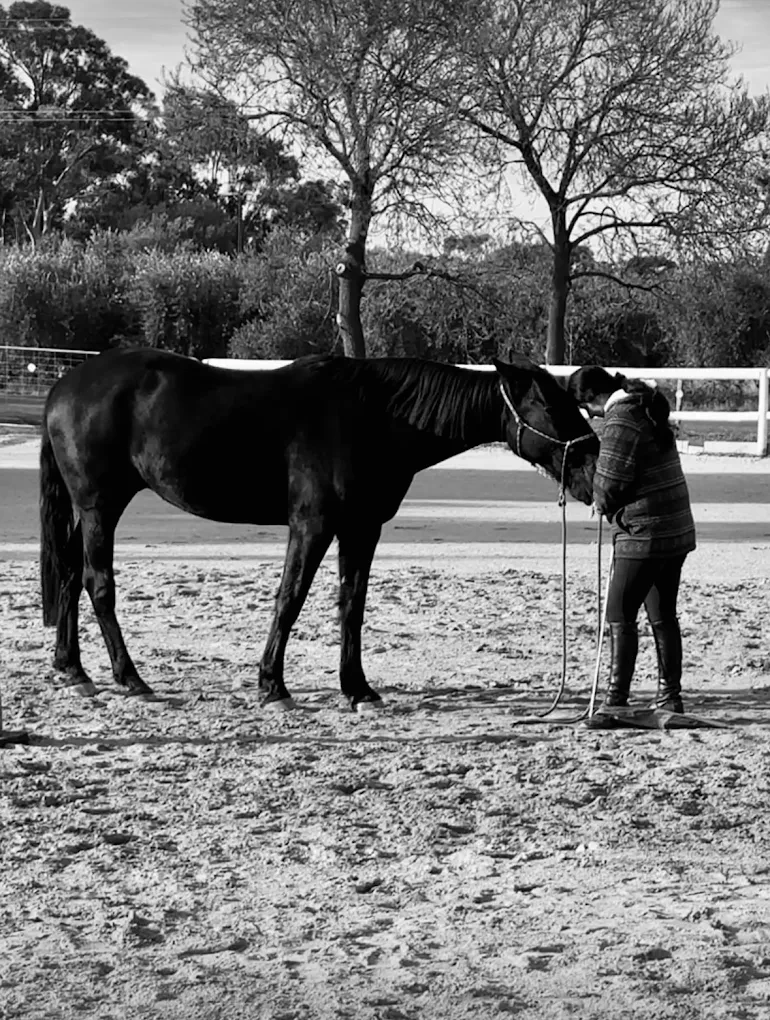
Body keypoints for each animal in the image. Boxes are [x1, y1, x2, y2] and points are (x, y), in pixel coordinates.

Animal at [39, 348, 598, 711]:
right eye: (550, 406)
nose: (594, 468)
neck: (372, 416)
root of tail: (64, 386)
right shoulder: (312, 525)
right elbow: (290, 598)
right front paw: (272, 686)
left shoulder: (362, 529)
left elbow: (352, 605)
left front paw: (358, 689)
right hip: (100, 507)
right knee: (97, 583)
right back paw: (129, 678)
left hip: (88, 511)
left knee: (68, 573)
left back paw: (74, 671)